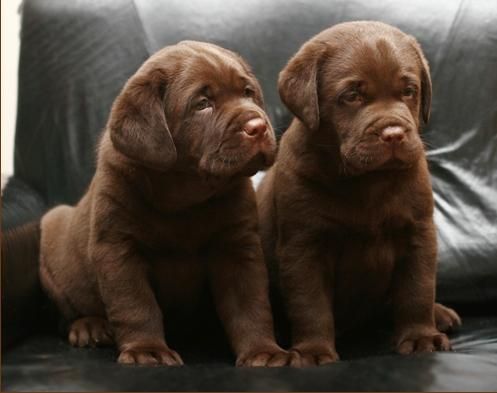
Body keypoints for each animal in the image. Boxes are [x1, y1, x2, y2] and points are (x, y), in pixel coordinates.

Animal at [40, 41, 294, 366]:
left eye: (248, 92)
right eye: (202, 103)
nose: (259, 126)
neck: (185, 195)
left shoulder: (238, 246)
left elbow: (250, 303)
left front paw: (263, 350)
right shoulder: (117, 247)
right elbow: (135, 304)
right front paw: (146, 350)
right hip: (52, 235)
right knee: (68, 313)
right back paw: (89, 327)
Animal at [258, 20, 460, 364]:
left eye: (409, 91)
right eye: (351, 95)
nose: (394, 133)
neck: (367, 181)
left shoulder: (419, 232)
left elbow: (417, 289)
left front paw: (421, 336)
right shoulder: (303, 246)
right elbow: (309, 303)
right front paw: (313, 351)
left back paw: (440, 314)